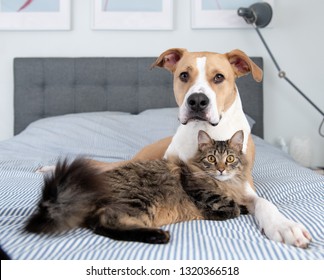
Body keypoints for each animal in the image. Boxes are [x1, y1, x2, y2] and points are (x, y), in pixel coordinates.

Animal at [25, 130, 249, 244]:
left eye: (230, 159)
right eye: (211, 159)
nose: (221, 169)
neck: (226, 183)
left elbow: (239, 204)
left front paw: (244, 206)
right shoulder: (197, 190)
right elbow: (230, 208)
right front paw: (227, 209)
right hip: (139, 200)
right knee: (105, 223)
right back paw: (158, 235)